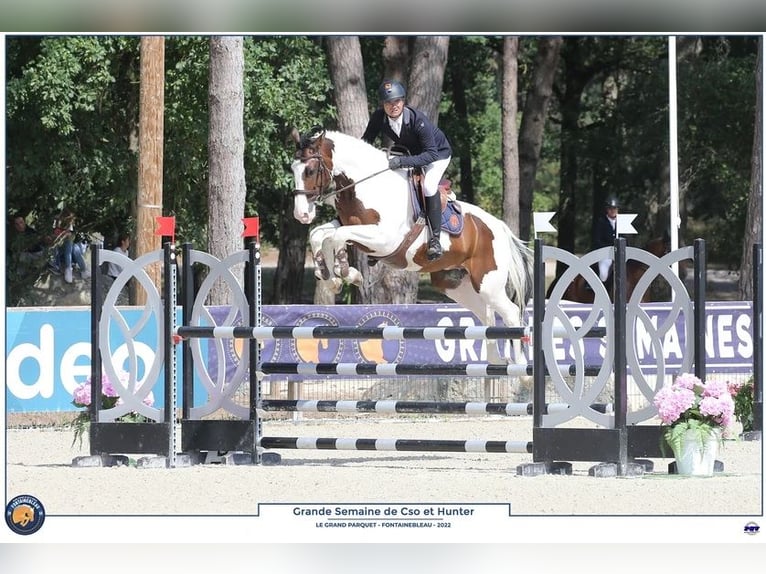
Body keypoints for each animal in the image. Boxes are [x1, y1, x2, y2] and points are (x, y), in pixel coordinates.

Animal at [292, 127, 536, 364]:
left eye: (310, 170)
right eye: (293, 169)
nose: (301, 215)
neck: (368, 187)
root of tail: (501, 228)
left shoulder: (384, 239)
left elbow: (337, 236)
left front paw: (345, 271)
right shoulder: (353, 228)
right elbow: (320, 235)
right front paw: (331, 277)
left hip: (488, 284)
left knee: (512, 313)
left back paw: (520, 367)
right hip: (455, 284)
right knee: (486, 314)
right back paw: (496, 361)